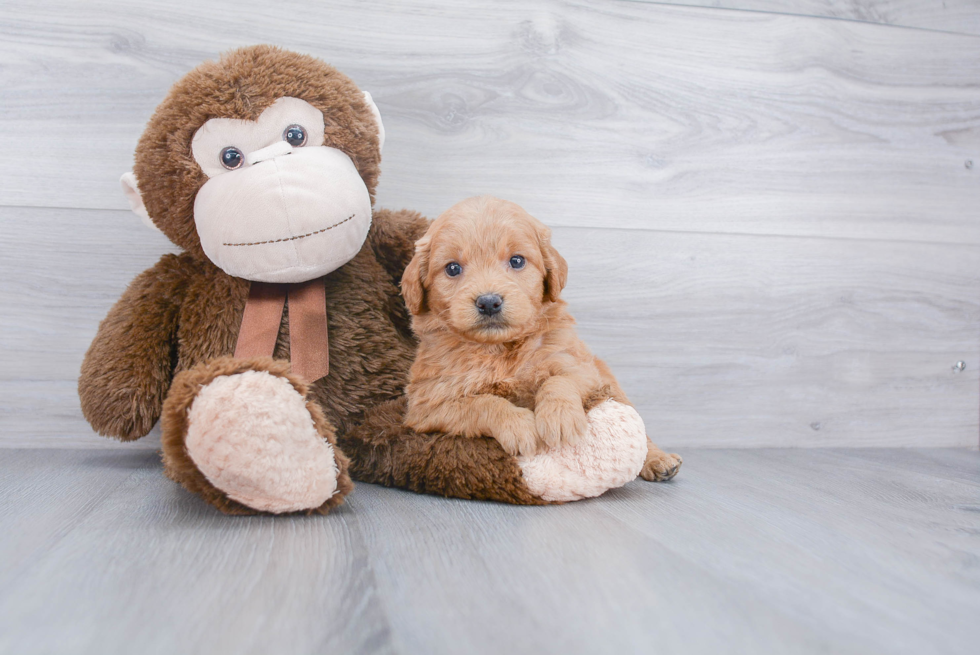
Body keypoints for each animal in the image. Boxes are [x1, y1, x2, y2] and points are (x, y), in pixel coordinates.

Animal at [398, 195, 680, 482]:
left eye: (517, 261)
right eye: (453, 268)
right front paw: (518, 426)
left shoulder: (580, 367)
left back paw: (660, 460)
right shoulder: (427, 405)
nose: (488, 302)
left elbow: (559, 380)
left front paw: (560, 418)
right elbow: (483, 403)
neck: (501, 349)